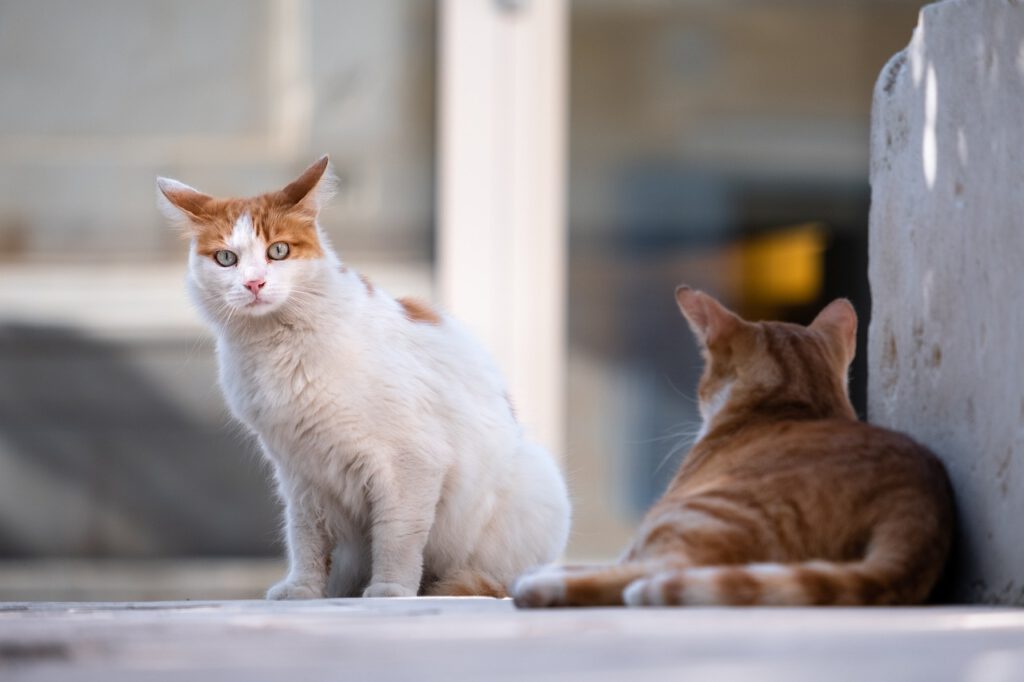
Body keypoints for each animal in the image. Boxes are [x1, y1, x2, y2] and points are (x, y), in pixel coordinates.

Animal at [154, 155, 569, 593]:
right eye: (226, 259)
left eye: (278, 250)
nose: (254, 283)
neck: (277, 346)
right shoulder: (300, 474)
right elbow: (305, 539)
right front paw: (303, 590)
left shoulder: (409, 463)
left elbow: (396, 537)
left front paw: (390, 590)